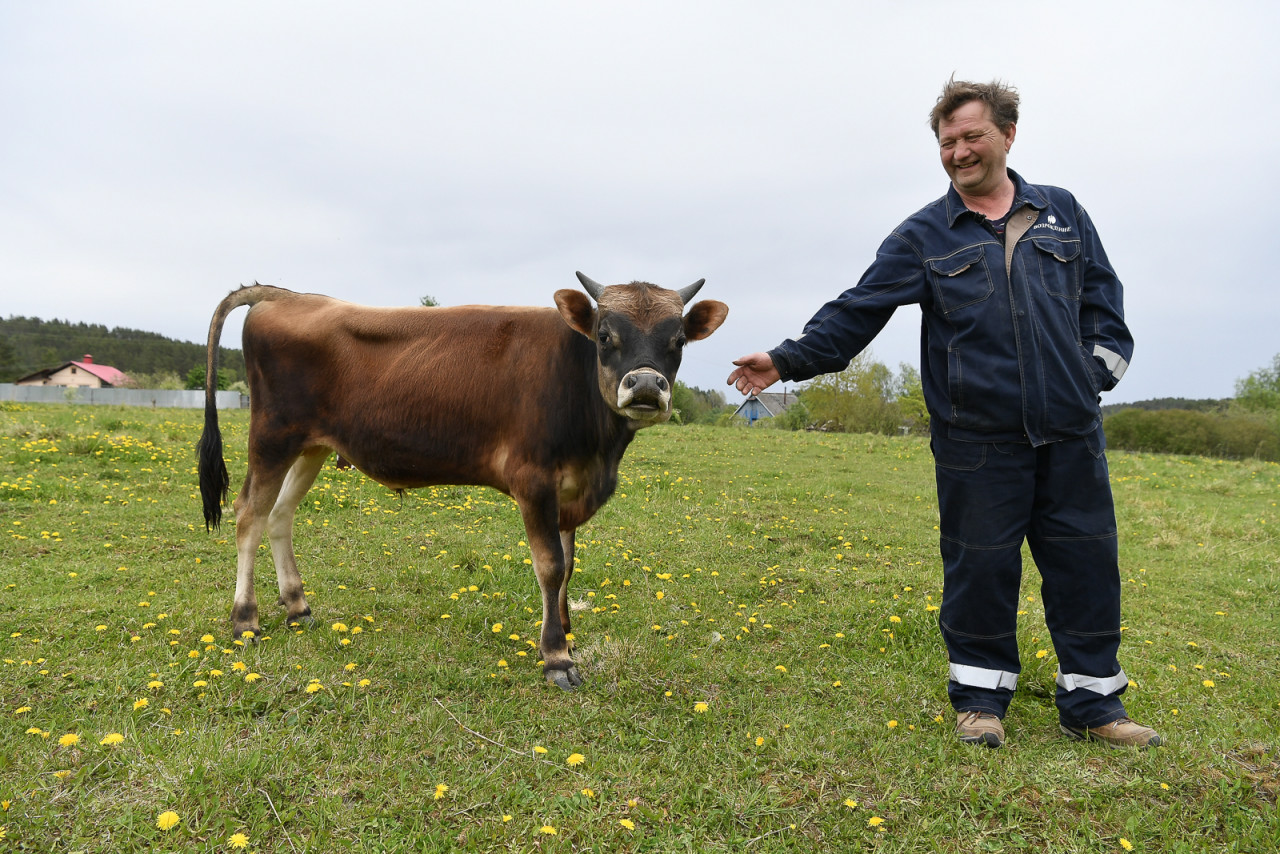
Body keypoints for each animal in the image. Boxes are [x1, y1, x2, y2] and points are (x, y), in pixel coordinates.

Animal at [194, 273, 727, 686]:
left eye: (678, 340)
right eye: (604, 335)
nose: (646, 385)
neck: (599, 451)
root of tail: (288, 296)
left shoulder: (570, 488)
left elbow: (570, 565)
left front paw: (568, 634)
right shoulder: (534, 480)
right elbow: (550, 566)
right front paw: (556, 656)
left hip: (311, 446)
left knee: (280, 516)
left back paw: (298, 607)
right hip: (272, 436)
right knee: (249, 516)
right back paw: (245, 620)